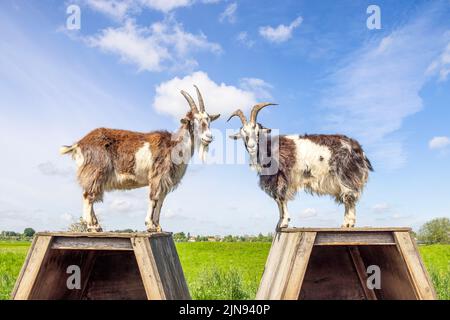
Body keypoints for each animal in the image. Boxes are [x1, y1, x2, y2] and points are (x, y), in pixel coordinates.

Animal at [60, 86, 220, 231]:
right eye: (193, 121)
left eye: (208, 120)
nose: (209, 137)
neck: (175, 146)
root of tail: (79, 143)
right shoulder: (157, 176)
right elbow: (154, 198)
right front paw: (149, 225)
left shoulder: (165, 181)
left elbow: (161, 202)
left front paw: (158, 226)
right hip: (95, 170)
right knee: (88, 195)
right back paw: (91, 226)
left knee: (90, 195)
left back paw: (96, 225)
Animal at [229, 104, 372, 229]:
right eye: (243, 134)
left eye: (257, 131)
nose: (252, 146)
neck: (268, 149)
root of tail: (357, 148)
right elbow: (278, 201)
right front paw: (279, 223)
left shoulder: (279, 177)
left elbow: (280, 198)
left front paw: (283, 223)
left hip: (346, 175)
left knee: (349, 197)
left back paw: (348, 224)